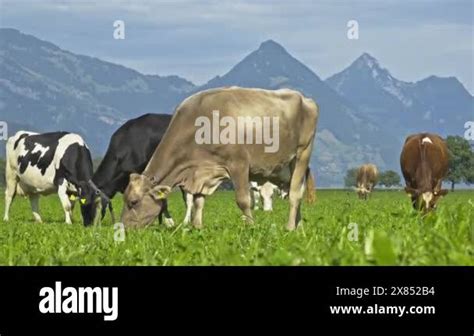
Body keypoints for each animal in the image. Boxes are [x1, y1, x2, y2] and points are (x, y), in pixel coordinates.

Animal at [120, 86, 318, 230]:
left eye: (133, 202)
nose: (123, 229)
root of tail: (305, 98)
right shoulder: (201, 171)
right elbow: (198, 201)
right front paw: (197, 227)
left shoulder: (239, 164)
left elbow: (243, 200)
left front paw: (251, 227)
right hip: (287, 167)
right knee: (297, 192)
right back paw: (299, 227)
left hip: (302, 154)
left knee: (294, 195)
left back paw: (290, 227)